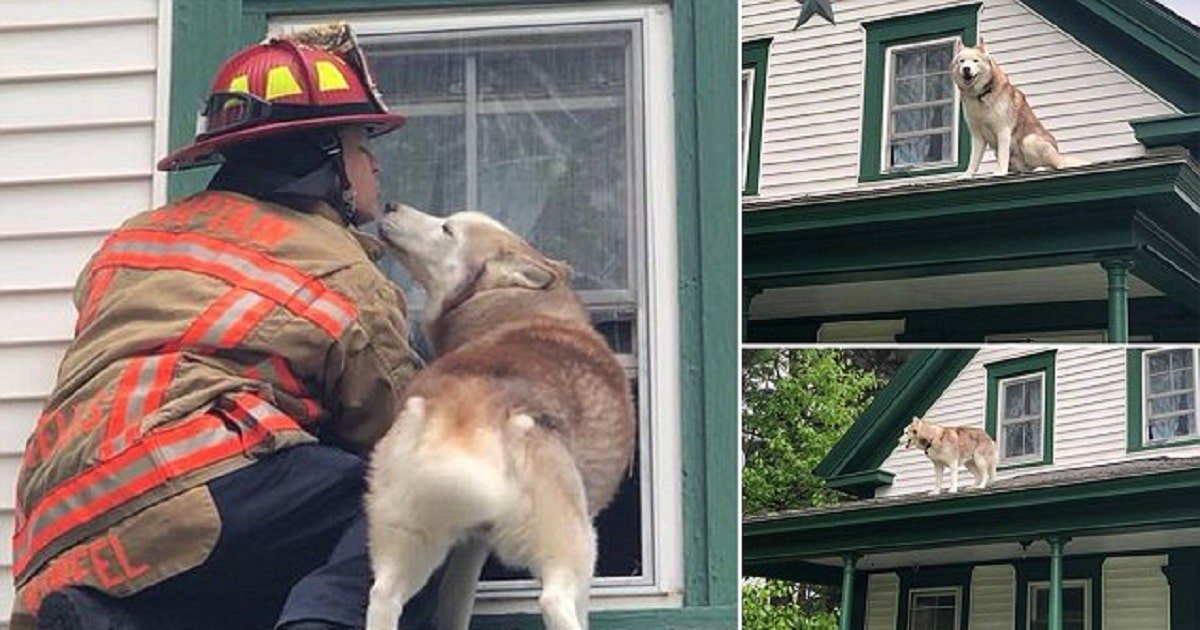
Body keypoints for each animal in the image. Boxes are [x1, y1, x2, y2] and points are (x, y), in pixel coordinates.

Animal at [364, 202, 638, 628]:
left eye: (446, 229)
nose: (390, 204)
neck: (510, 305)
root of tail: (467, 404)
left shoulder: (469, 550)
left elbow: (453, 608)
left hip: (407, 541)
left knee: (383, 597)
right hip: (573, 546)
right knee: (555, 600)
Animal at [950, 36, 1084, 176]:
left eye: (975, 61)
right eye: (961, 61)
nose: (966, 68)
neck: (981, 95)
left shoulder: (1003, 130)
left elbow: (1003, 156)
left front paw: (1000, 173)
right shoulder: (977, 136)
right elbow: (974, 160)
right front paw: (967, 175)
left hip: (1029, 140)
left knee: (1058, 165)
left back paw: (1040, 168)